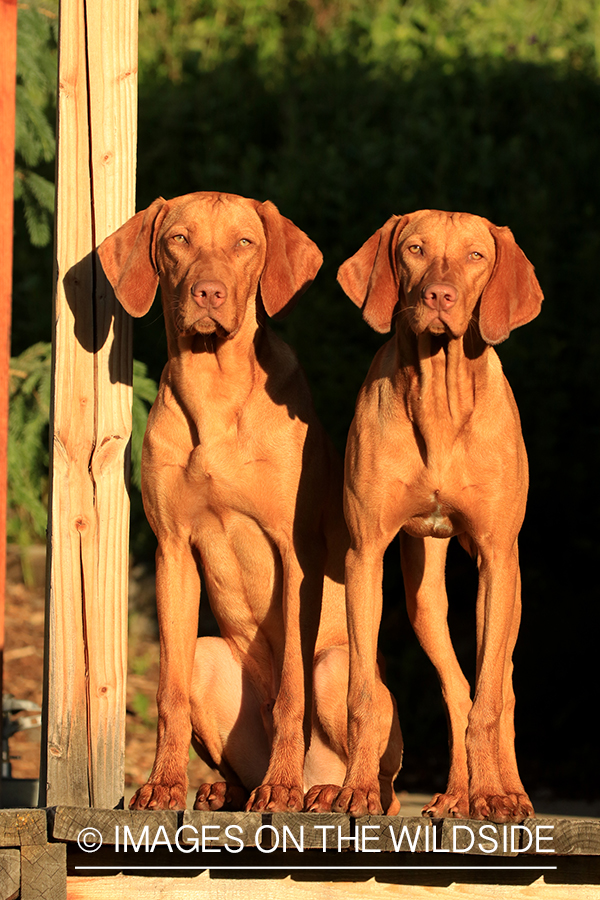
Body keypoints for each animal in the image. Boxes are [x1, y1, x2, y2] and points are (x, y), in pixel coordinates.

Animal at [98, 192, 404, 816]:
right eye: (178, 239)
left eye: (245, 243)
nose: (208, 293)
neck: (215, 392)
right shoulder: (172, 550)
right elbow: (166, 692)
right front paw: (161, 783)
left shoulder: (294, 555)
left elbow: (290, 690)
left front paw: (279, 786)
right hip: (208, 655)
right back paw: (228, 788)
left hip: (338, 669)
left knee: (376, 774)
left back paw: (320, 788)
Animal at [324, 209, 544, 824]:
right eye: (415, 250)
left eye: (476, 256)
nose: (439, 295)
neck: (440, 397)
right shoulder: (364, 557)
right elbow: (363, 693)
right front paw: (357, 789)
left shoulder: (496, 558)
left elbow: (491, 697)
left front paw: (494, 795)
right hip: (423, 600)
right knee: (455, 687)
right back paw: (457, 793)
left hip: (510, 587)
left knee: (500, 685)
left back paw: (506, 789)